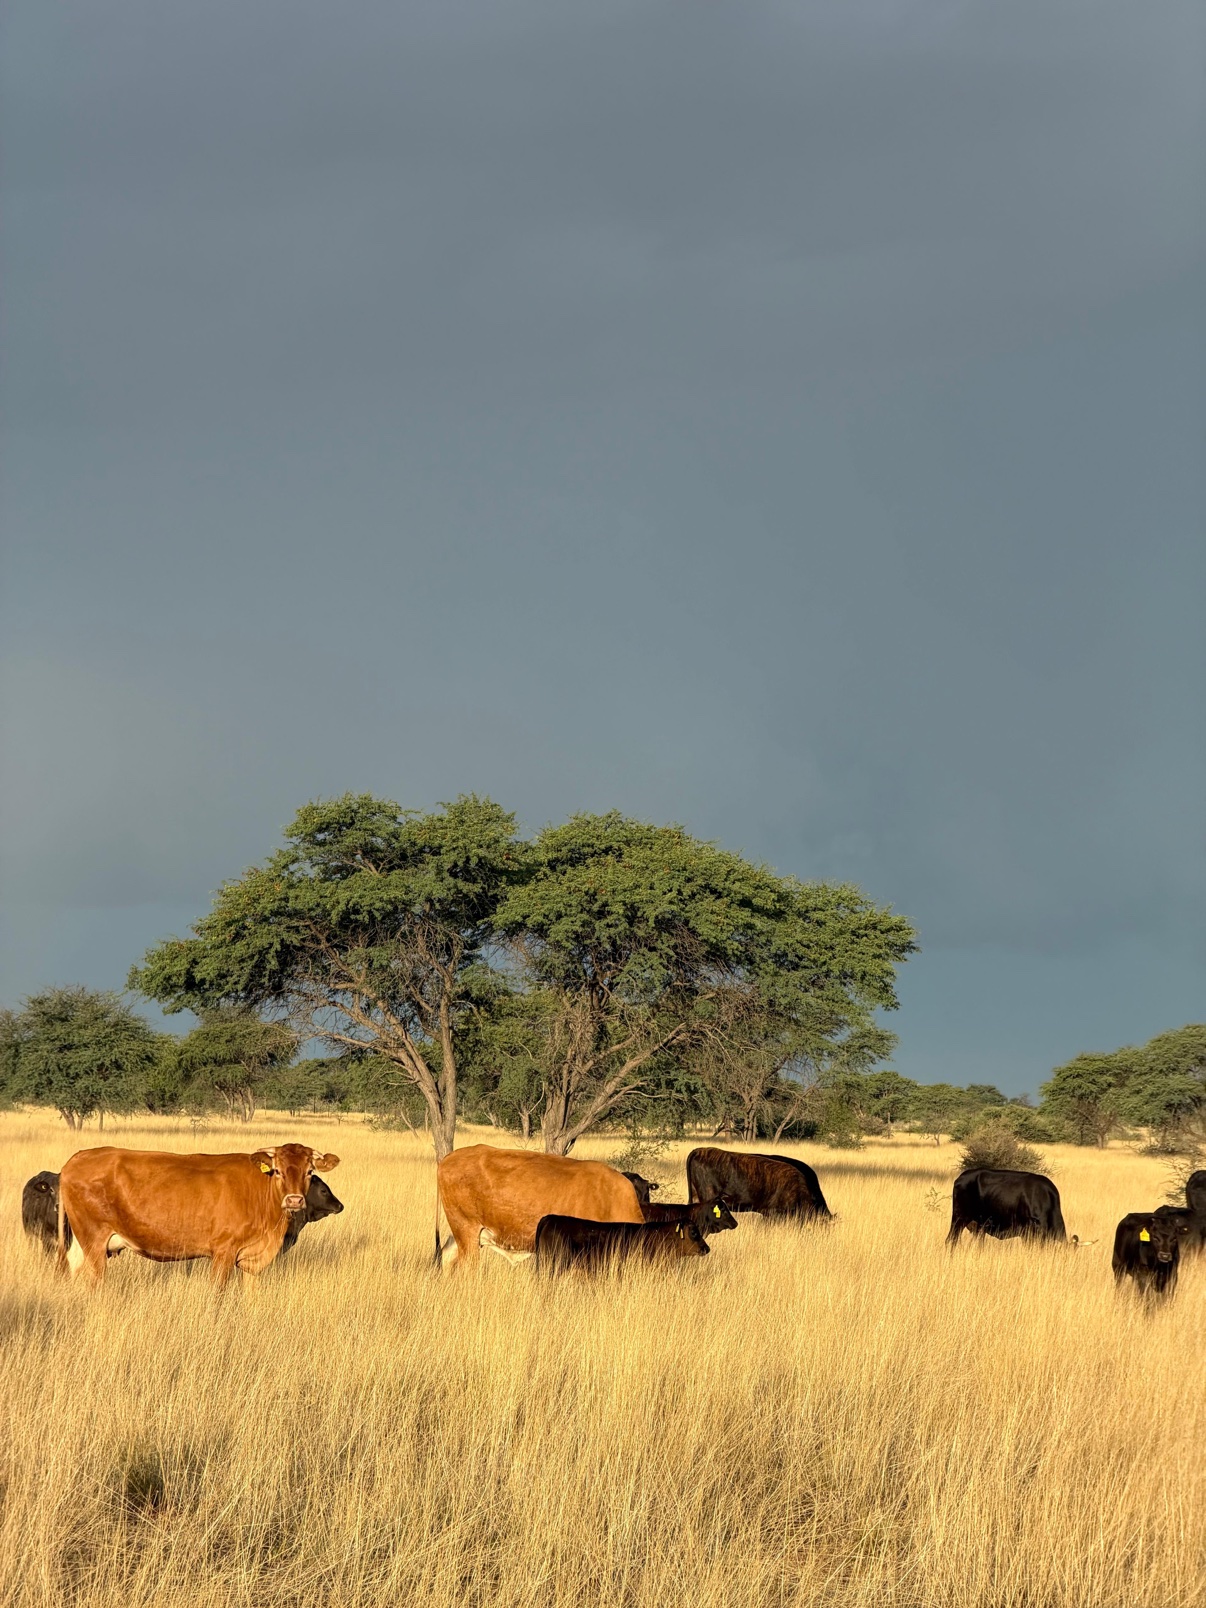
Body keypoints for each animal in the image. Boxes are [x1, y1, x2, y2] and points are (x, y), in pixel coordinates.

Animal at [56, 1143, 340, 1287]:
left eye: (310, 1171)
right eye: (278, 1170)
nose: (294, 1200)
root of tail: (77, 1158)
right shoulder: (224, 1253)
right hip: (94, 1241)